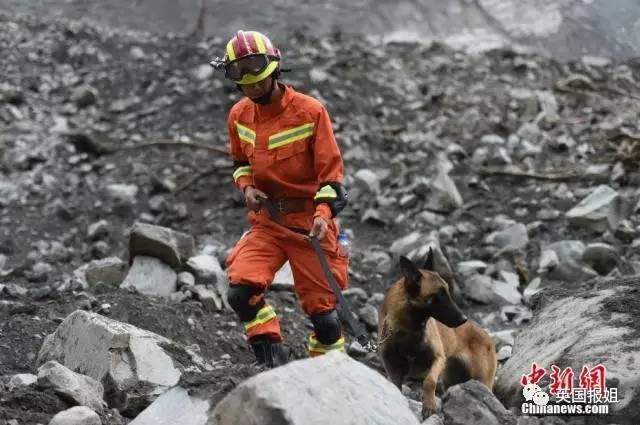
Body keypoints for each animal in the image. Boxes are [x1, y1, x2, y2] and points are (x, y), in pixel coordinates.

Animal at [378, 248, 498, 418]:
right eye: (439, 294)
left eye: (447, 290)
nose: (464, 319)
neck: (408, 331)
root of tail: (488, 338)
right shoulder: (393, 369)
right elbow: (396, 387)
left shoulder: (438, 359)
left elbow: (429, 381)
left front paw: (428, 405)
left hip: (482, 381)